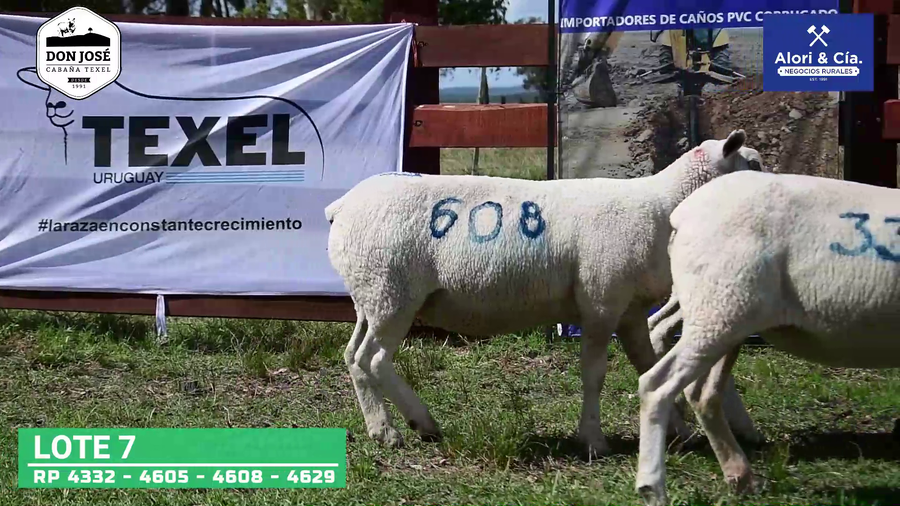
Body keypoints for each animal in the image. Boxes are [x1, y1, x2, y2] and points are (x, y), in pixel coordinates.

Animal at [325, 130, 763, 455]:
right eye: (754, 164)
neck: (662, 207)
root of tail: (342, 205)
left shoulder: (631, 310)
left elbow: (648, 366)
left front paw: (679, 431)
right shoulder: (600, 301)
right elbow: (594, 374)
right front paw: (593, 440)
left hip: (370, 296)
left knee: (353, 356)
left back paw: (392, 425)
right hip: (391, 293)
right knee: (373, 358)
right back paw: (403, 427)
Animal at [635, 170, 900, 506]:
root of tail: (683, 214)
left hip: (726, 314)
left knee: (703, 393)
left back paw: (740, 476)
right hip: (720, 305)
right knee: (656, 384)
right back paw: (652, 487)